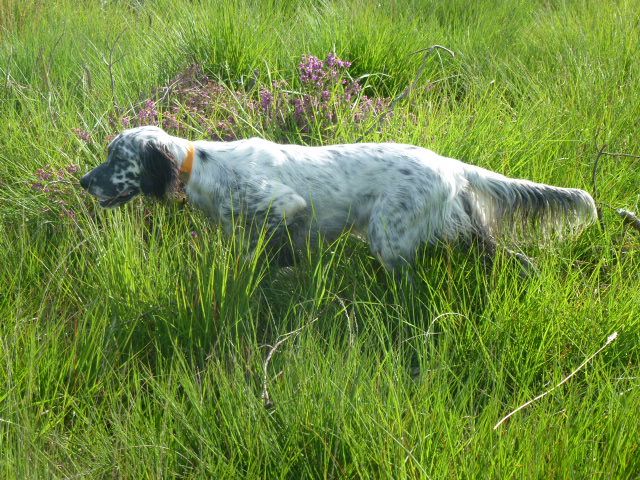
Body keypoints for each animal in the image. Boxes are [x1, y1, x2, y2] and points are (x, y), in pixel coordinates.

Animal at [81, 125, 600, 270]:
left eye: (116, 158)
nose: (84, 182)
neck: (203, 167)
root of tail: (450, 163)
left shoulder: (285, 205)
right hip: (465, 225)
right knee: (505, 252)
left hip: (388, 236)